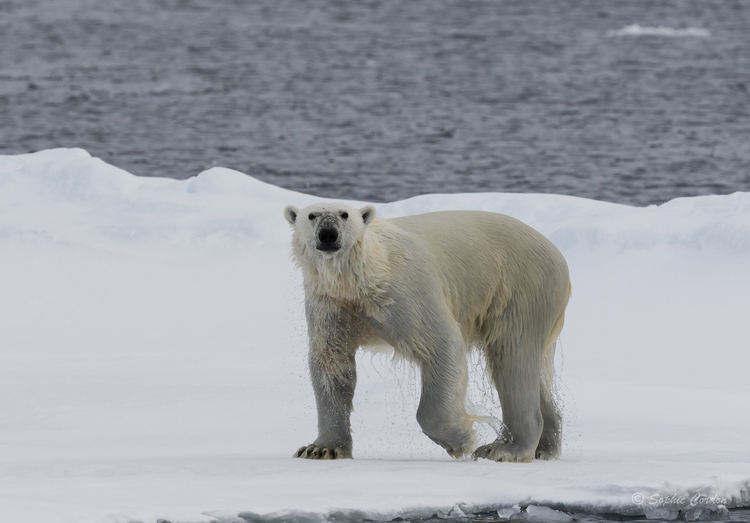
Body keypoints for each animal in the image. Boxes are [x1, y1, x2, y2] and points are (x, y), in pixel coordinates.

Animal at [284, 202, 572, 462]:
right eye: (312, 215)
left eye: (344, 214)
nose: (328, 234)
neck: (361, 279)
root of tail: (557, 254)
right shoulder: (331, 304)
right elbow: (331, 364)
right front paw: (321, 449)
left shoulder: (404, 291)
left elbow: (441, 344)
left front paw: (461, 441)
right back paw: (544, 447)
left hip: (521, 288)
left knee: (513, 358)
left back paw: (503, 450)